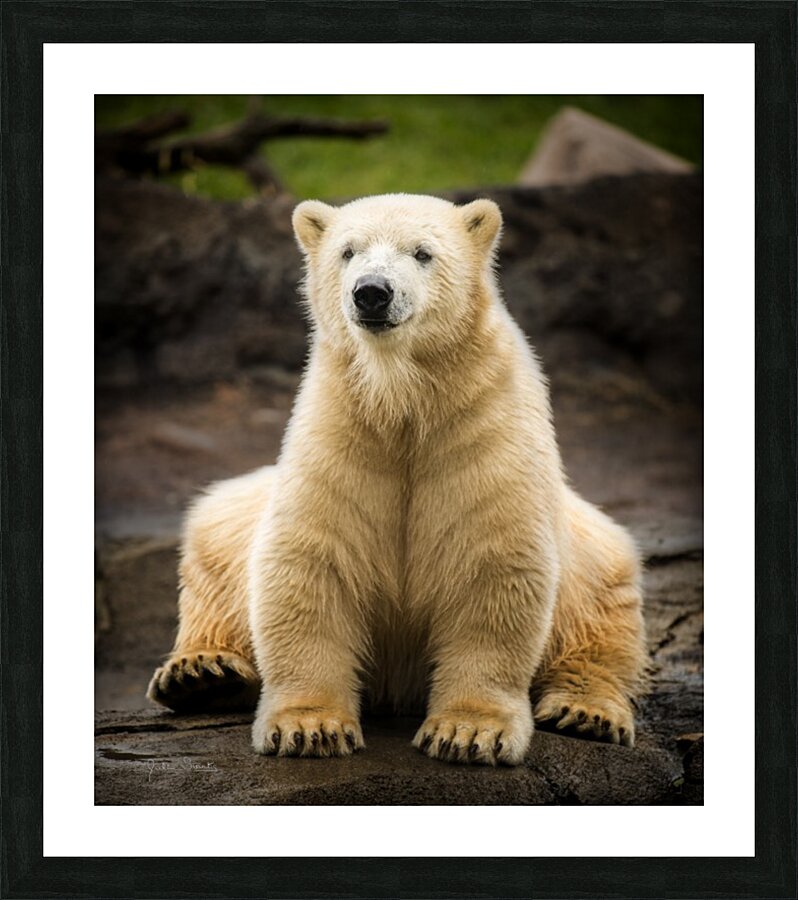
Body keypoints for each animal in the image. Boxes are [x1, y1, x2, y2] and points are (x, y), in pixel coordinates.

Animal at [147, 193, 647, 765]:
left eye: (422, 252)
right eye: (348, 251)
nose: (372, 292)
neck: (403, 398)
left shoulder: (487, 427)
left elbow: (493, 565)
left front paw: (467, 732)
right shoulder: (339, 428)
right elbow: (310, 559)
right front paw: (311, 727)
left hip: (596, 555)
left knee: (601, 614)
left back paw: (586, 711)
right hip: (231, 521)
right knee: (212, 548)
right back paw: (201, 674)